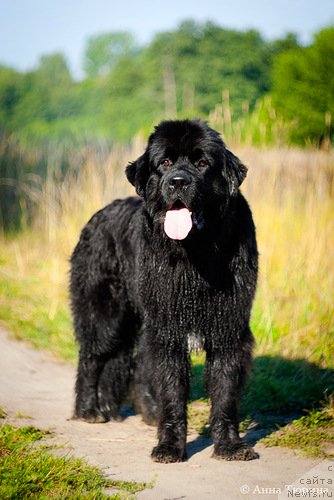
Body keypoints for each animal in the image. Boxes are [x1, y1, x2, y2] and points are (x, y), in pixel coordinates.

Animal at [70, 119, 258, 462]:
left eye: (202, 163)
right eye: (166, 163)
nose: (178, 182)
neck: (196, 253)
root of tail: (99, 214)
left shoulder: (227, 325)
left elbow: (225, 391)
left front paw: (229, 446)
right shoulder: (169, 327)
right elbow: (172, 387)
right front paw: (170, 446)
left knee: (136, 364)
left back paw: (146, 412)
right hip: (105, 314)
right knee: (91, 356)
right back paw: (89, 410)